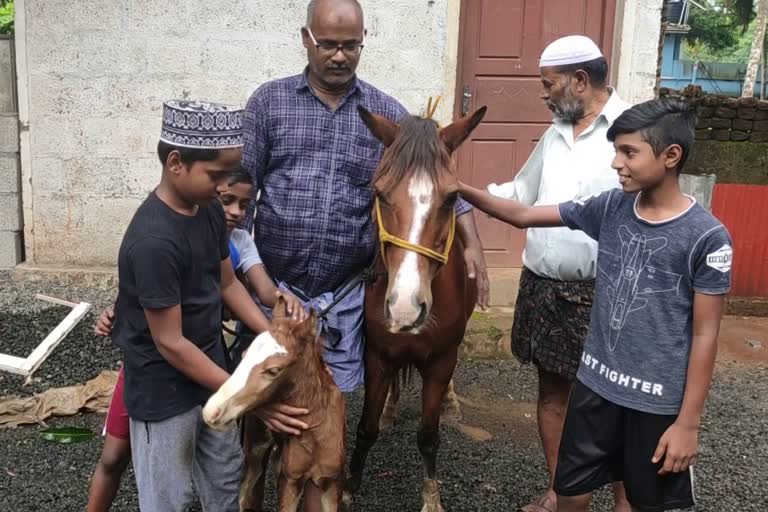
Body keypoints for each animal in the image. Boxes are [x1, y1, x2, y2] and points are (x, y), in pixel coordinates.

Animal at [204, 298, 348, 510]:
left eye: (273, 370)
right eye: (243, 355)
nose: (212, 411)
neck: (315, 434)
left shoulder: (331, 481)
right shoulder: (291, 480)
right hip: (255, 448)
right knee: (246, 490)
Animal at [346, 105, 486, 512]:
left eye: (452, 198)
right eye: (379, 192)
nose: (406, 307)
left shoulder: (441, 359)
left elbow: (427, 435)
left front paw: (431, 498)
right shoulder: (377, 353)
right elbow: (366, 428)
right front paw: (347, 487)